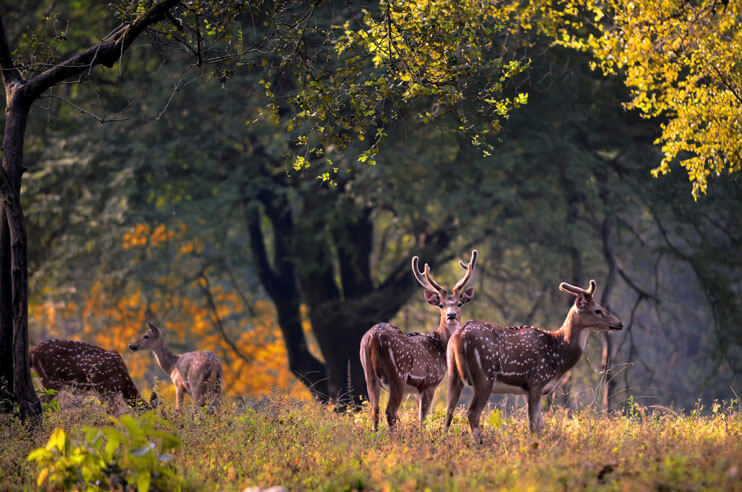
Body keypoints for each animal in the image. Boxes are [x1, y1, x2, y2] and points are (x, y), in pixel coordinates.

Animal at [28, 338, 158, 412]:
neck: (123, 383)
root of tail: (33, 351)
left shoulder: (101, 392)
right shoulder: (107, 389)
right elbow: (113, 413)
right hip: (52, 380)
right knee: (40, 402)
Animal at [358, 250, 476, 430]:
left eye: (459, 303)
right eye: (441, 305)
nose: (451, 315)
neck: (440, 346)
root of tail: (374, 337)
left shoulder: (416, 390)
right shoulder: (429, 382)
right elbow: (423, 420)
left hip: (368, 373)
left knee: (374, 410)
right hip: (398, 373)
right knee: (390, 411)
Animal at [448, 280, 620, 442]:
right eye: (598, 310)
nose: (619, 324)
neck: (558, 355)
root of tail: (459, 335)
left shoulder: (529, 389)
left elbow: (540, 424)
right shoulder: (536, 381)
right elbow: (533, 425)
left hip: (453, 373)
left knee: (449, 411)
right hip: (484, 375)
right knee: (472, 413)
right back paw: (479, 443)